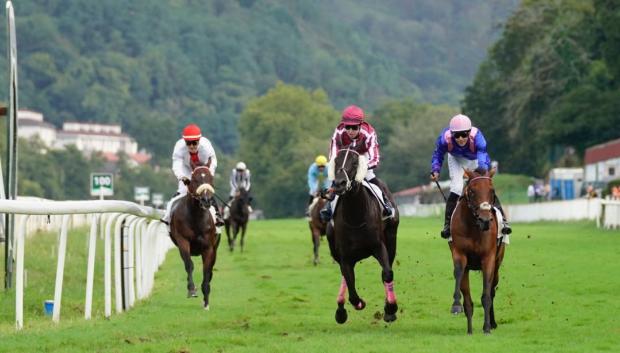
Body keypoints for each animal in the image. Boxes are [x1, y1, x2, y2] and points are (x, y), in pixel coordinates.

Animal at [170, 161, 220, 310]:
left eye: (211, 178)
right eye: (195, 179)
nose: (206, 200)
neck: (196, 217)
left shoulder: (209, 247)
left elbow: (206, 271)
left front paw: (206, 301)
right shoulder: (183, 241)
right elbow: (189, 264)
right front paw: (192, 289)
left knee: (210, 270)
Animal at [326, 147, 400, 324]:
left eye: (354, 162)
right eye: (336, 161)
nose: (339, 183)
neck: (356, 217)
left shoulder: (379, 246)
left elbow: (387, 273)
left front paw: (391, 308)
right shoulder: (345, 256)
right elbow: (350, 286)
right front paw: (357, 304)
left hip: (392, 239)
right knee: (345, 277)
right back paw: (340, 310)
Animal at [448, 167, 506, 332]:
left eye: (492, 191)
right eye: (472, 191)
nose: (485, 220)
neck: (473, 228)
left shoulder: (488, 258)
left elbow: (486, 295)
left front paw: (486, 328)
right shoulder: (460, 255)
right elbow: (460, 278)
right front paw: (457, 307)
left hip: (498, 263)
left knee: (492, 290)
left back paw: (492, 323)